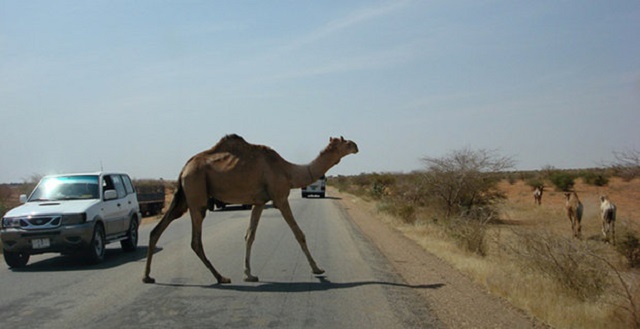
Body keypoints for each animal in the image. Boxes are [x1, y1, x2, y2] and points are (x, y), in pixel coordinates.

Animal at [142, 135, 358, 284]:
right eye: (344, 141)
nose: (356, 145)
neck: (288, 171)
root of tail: (184, 167)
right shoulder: (280, 197)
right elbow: (299, 233)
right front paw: (318, 269)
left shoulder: (259, 202)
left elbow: (250, 235)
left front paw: (249, 274)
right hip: (197, 194)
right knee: (195, 241)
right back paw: (221, 277)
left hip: (183, 198)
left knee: (157, 230)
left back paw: (148, 277)